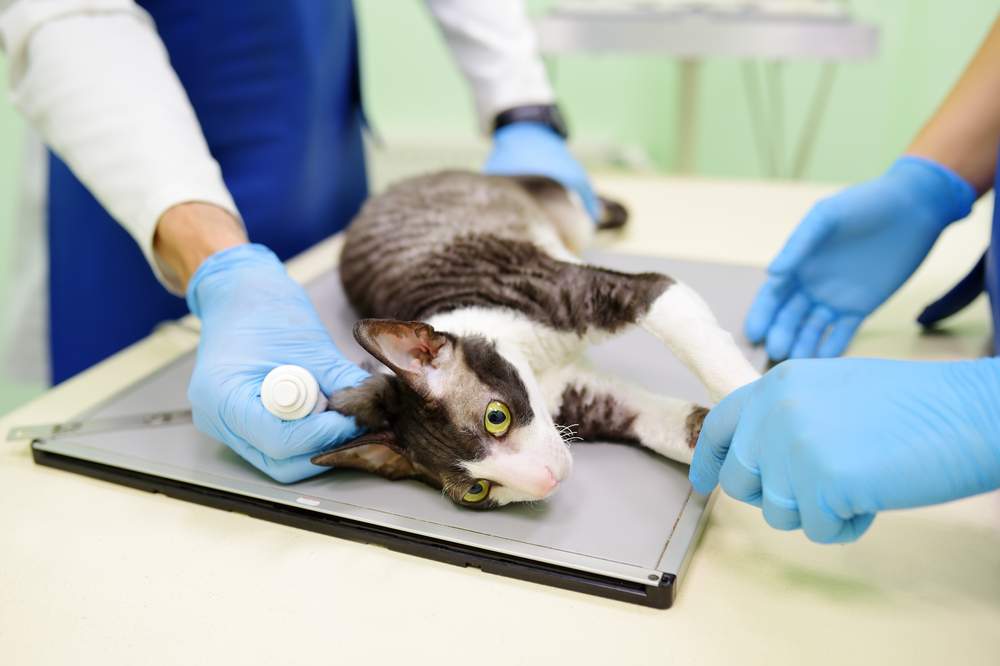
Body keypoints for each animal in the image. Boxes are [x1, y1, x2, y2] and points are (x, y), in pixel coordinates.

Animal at [312, 171, 756, 508]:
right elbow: (683, 428)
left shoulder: (592, 292)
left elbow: (698, 341)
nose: (547, 481)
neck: (535, 359)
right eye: (477, 490)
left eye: (496, 417)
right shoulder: (586, 398)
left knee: (579, 198)